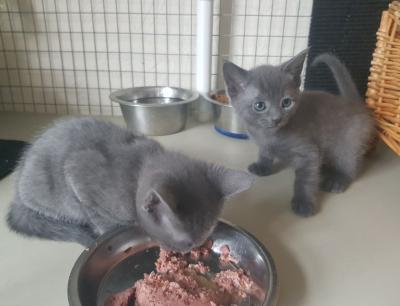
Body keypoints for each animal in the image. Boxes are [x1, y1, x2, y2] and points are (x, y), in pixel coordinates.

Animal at [7, 117, 253, 251]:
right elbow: (99, 217)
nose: (194, 250)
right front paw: (108, 231)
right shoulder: (77, 173)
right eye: (187, 243)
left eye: (207, 235)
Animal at [223, 50, 376, 216]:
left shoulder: (308, 153)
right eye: (259, 105)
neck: (269, 135)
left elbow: (305, 179)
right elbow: (265, 153)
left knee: (350, 163)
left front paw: (303, 203)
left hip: (348, 141)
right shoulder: (264, 144)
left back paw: (338, 180)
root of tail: (357, 105)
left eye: (286, 102)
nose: (277, 118)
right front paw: (262, 166)